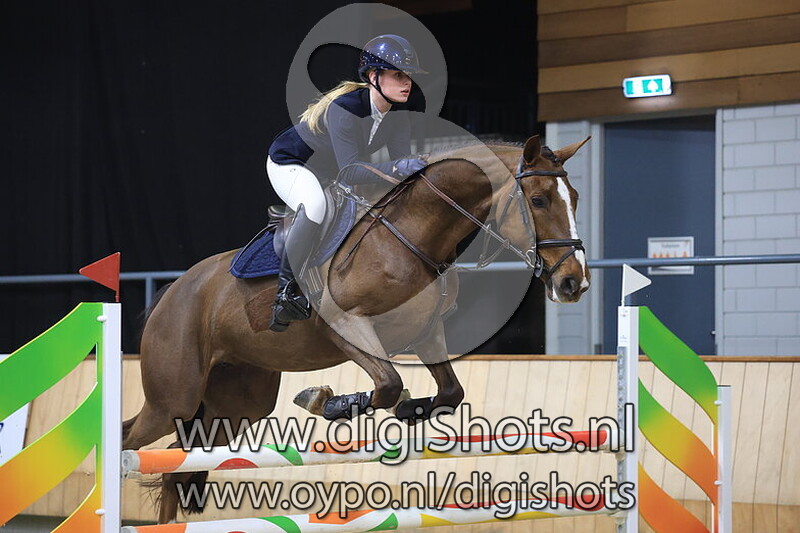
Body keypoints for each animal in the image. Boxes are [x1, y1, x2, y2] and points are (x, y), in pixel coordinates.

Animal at [121, 135, 591, 523]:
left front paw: (408, 409)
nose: (575, 283)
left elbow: (449, 392)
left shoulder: (427, 333)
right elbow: (386, 383)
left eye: (575, 198)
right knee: (132, 440)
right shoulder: (346, 326)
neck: (413, 234)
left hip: (238, 405)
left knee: (176, 461)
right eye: (538, 200)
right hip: (175, 397)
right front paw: (323, 400)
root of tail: (173, 290)